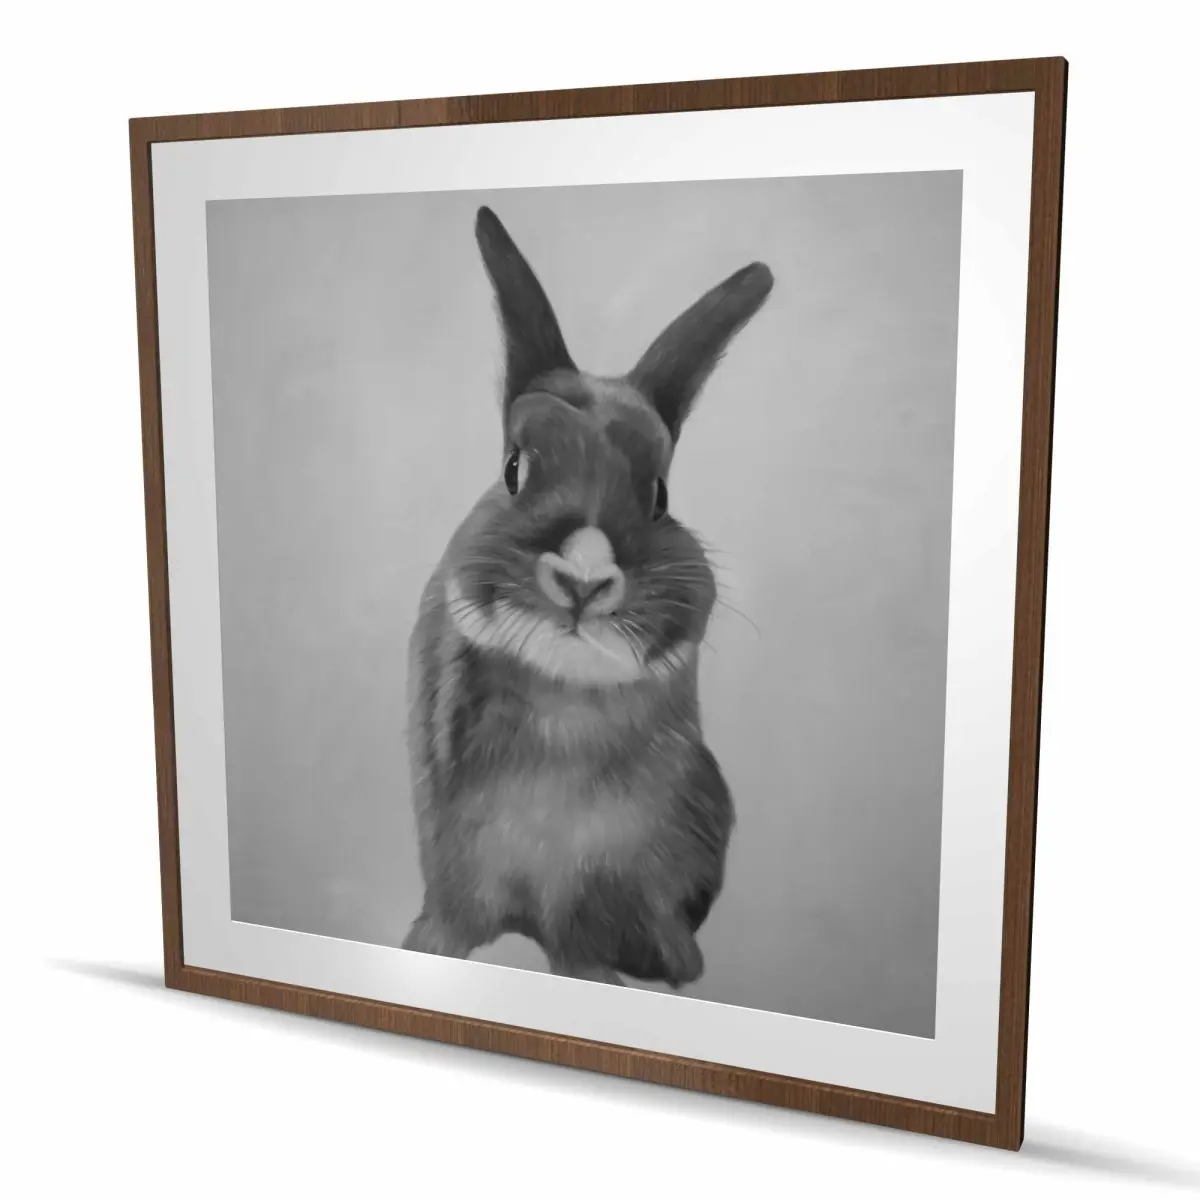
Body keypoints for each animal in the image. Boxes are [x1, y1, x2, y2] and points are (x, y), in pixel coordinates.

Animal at [402, 206, 773, 988]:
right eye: (514, 469)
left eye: (660, 496)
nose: (584, 579)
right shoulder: (458, 869)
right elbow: (454, 923)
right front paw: (425, 951)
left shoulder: (603, 889)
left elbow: (585, 946)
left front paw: (625, 976)